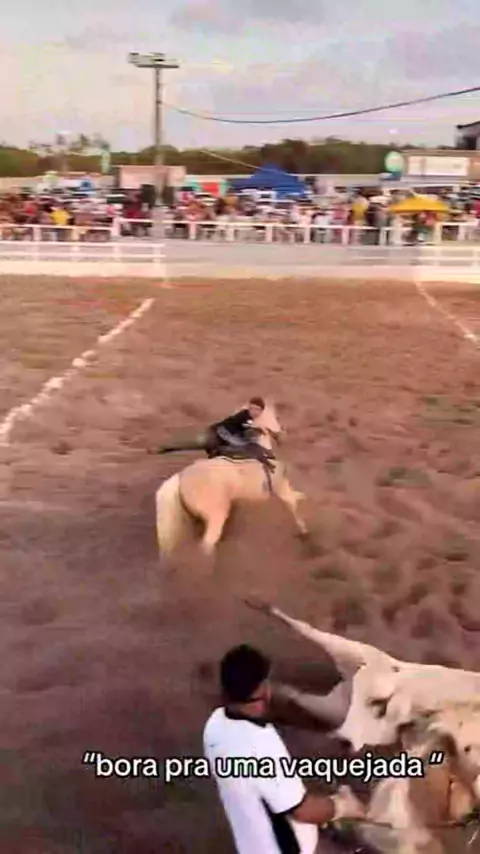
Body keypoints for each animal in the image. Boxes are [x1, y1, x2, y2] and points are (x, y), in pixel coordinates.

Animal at [154, 400, 309, 557]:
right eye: (275, 417)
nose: (282, 434)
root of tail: (180, 477)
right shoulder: (280, 488)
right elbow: (293, 504)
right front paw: (304, 532)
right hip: (215, 518)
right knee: (206, 545)